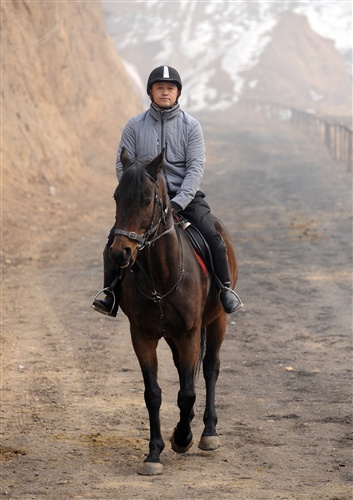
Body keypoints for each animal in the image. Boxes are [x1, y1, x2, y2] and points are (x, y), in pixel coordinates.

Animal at [108, 147, 238, 472]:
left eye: (147, 200)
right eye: (117, 196)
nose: (120, 253)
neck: (160, 275)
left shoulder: (190, 332)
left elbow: (188, 391)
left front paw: (182, 437)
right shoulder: (143, 335)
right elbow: (154, 393)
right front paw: (154, 452)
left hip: (216, 321)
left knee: (210, 367)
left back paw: (207, 431)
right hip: (171, 335)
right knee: (183, 370)